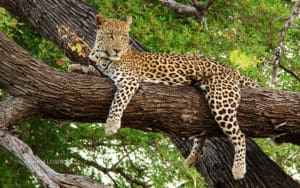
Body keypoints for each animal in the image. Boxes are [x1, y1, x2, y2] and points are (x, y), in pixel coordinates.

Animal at [74, 13, 258, 180]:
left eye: (124, 37)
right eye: (110, 35)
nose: (117, 50)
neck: (102, 55)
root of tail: (230, 69)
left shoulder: (129, 80)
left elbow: (118, 101)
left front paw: (112, 124)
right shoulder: (102, 71)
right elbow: (92, 69)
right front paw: (77, 67)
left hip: (221, 99)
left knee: (239, 135)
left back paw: (239, 169)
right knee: (203, 134)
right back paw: (191, 159)